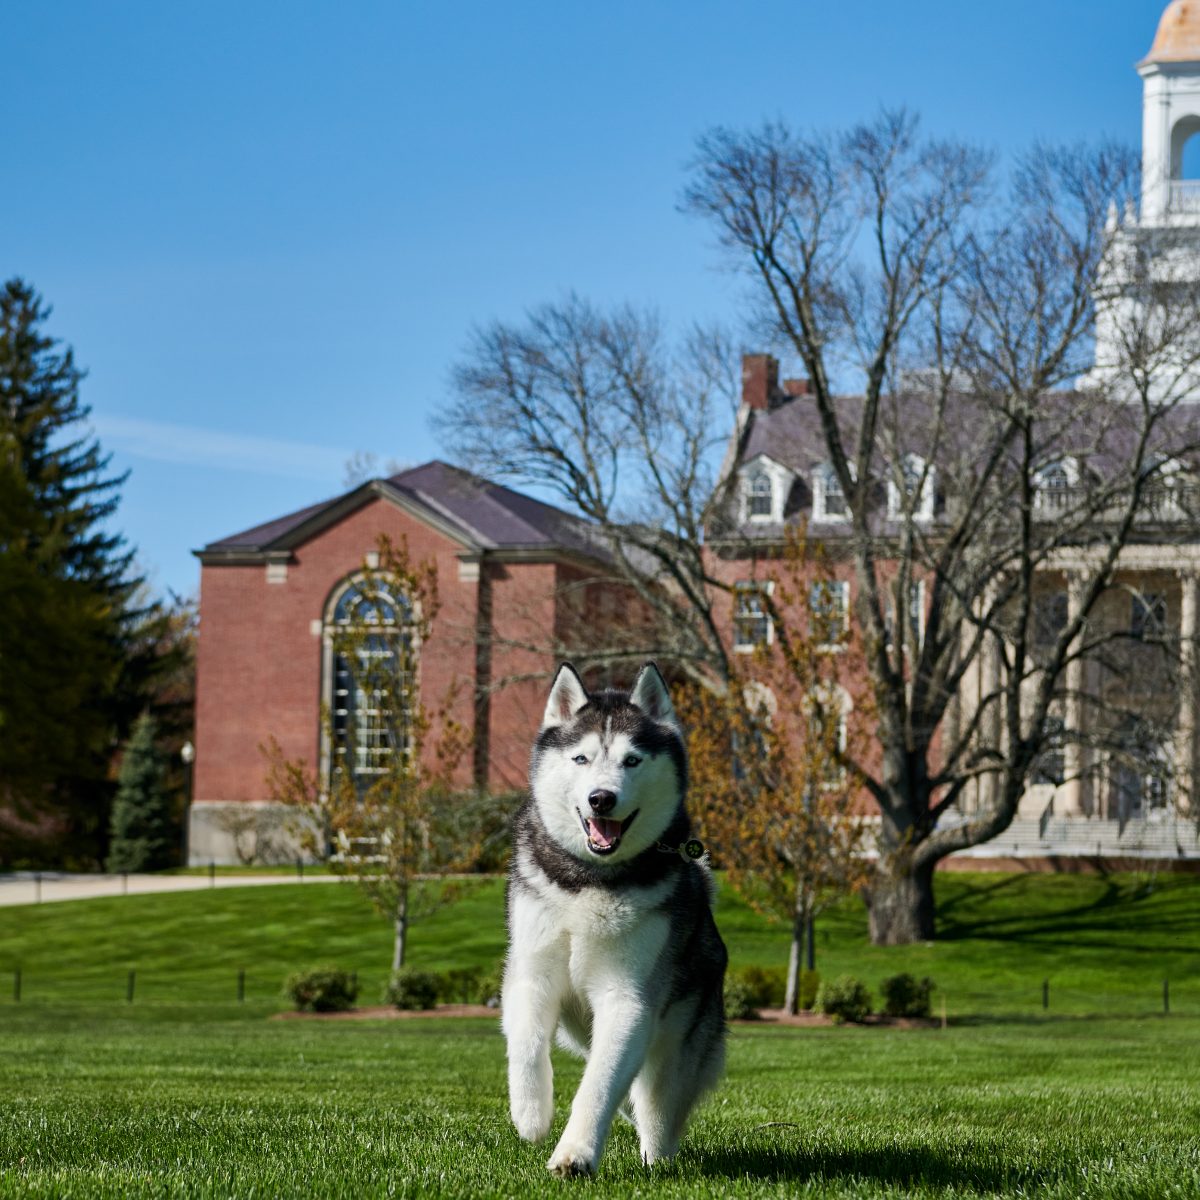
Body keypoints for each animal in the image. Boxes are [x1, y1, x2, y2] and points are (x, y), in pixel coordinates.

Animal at [501, 662, 724, 1176]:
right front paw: (531, 1115)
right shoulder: (530, 974)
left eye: (632, 761)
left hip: (677, 1041)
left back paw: (657, 1156)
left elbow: (599, 1084)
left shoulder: (628, 1001)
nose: (601, 798)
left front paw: (575, 1153)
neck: (591, 880)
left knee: (657, 1102)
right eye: (581, 759)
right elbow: (525, 1043)